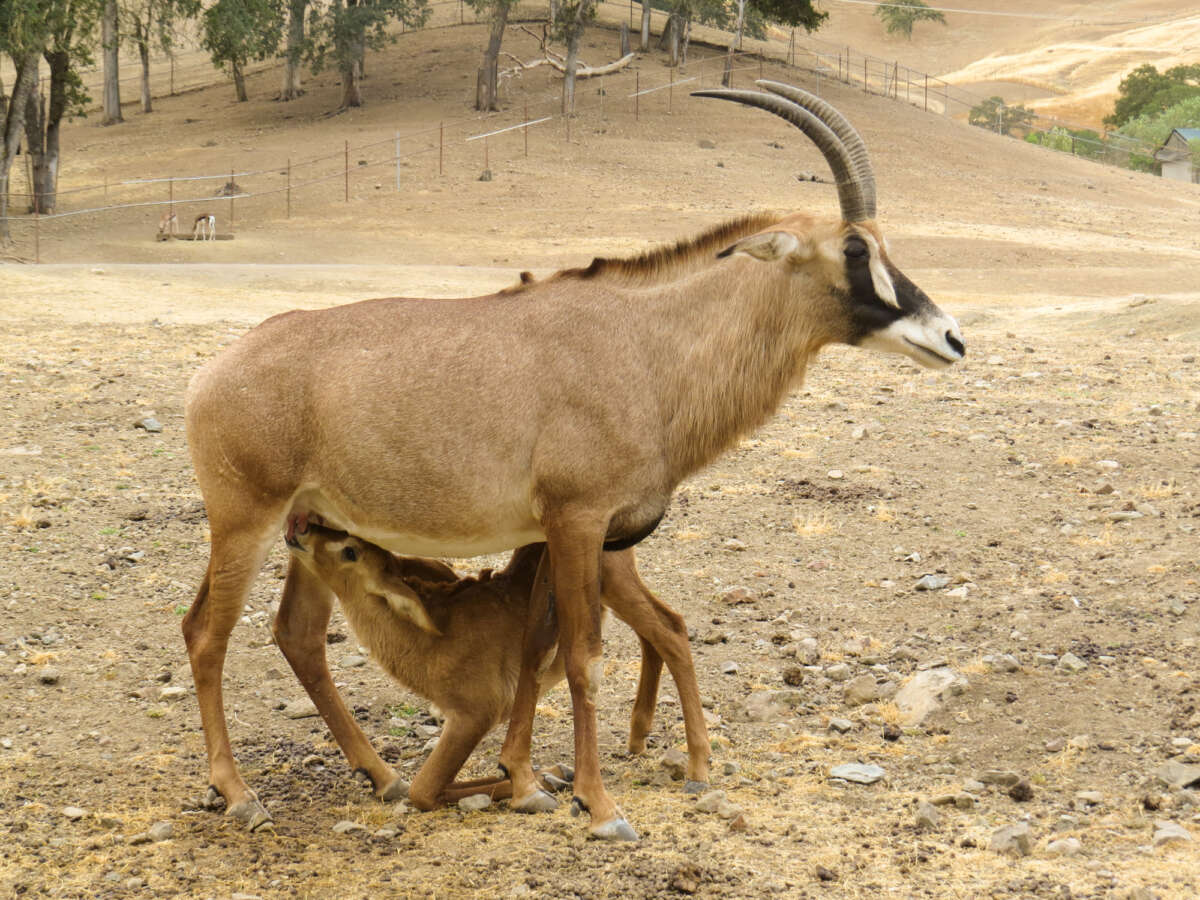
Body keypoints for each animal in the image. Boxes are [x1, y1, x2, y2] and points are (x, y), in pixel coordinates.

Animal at [283, 519, 709, 812]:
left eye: (350, 551)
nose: (300, 531)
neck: (431, 639)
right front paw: (552, 775)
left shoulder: (473, 717)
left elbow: (423, 790)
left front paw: (547, 780)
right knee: (655, 632)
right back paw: (638, 736)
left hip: (615, 584)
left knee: (671, 629)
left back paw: (697, 767)